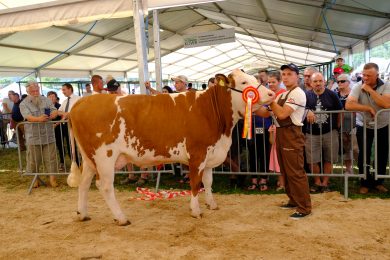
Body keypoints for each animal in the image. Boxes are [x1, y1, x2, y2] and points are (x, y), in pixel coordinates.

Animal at [67, 69, 274, 225]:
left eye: (256, 79)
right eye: (244, 82)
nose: (272, 94)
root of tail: (81, 103)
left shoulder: (210, 153)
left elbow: (208, 182)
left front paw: (212, 204)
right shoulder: (197, 153)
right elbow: (195, 183)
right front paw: (196, 211)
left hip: (89, 158)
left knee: (84, 184)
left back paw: (82, 214)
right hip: (104, 157)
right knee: (104, 186)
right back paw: (121, 218)